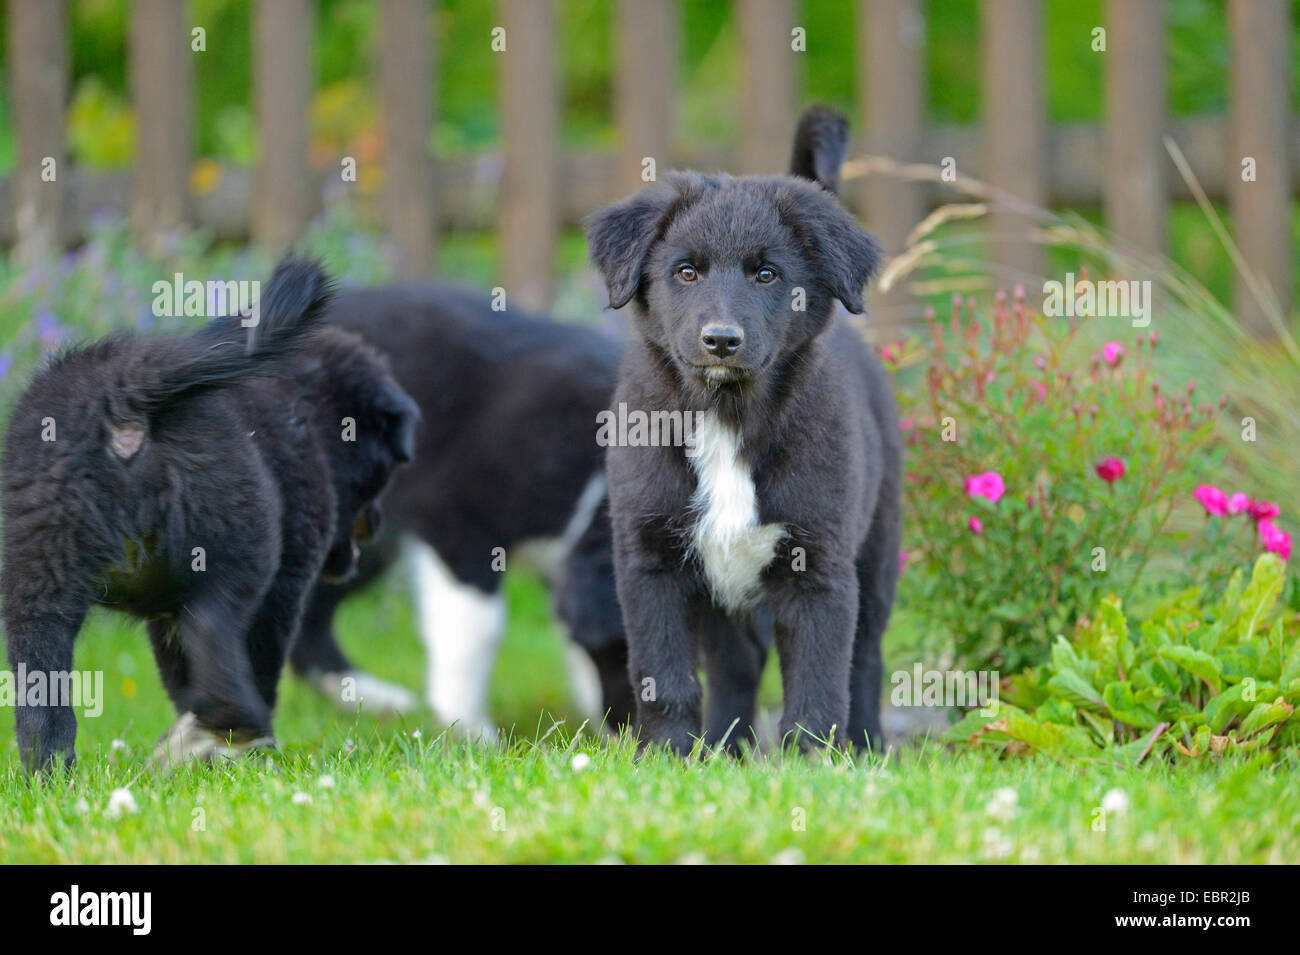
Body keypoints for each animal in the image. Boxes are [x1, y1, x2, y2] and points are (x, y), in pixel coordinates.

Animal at [1, 257, 416, 774]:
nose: (377, 524)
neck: (308, 414)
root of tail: (120, 391)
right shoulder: (287, 579)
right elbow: (256, 661)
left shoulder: (163, 613)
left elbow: (180, 679)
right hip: (240, 534)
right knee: (214, 628)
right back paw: (239, 724)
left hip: (38, 572)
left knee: (41, 685)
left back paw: (52, 771)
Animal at [585, 110, 899, 753]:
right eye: (685, 272)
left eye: (767, 274)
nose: (721, 340)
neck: (726, 417)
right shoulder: (651, 561)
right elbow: (665, 677)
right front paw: (667, 757)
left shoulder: (820, 567)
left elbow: (819, 683)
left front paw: (815, 762)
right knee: (737, 664)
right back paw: (723, 753)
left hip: (878, 552)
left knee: (866, 658)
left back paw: (866, 749)